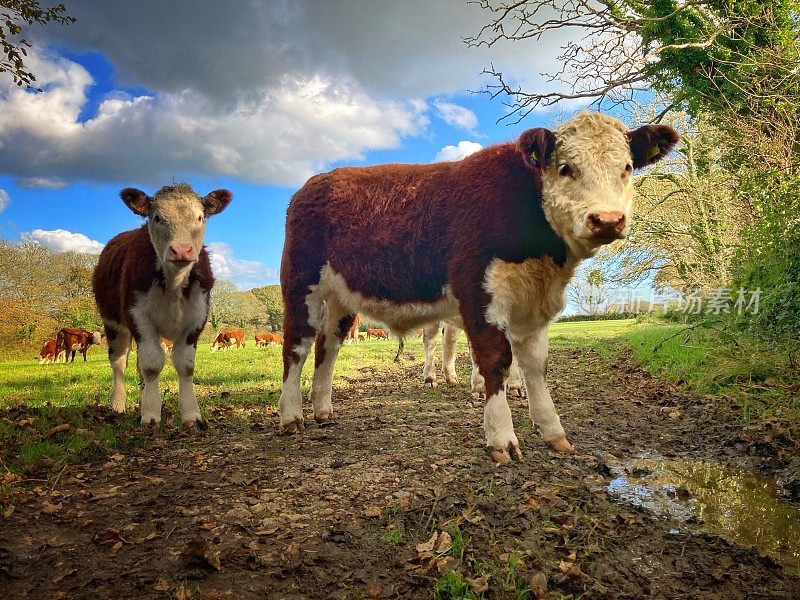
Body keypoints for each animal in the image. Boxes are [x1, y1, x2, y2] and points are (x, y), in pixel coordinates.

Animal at [93, 183, 233, 426]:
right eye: (157, 217)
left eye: (199, 217)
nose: (181, 250)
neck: (174, 283)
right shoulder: (138, 316)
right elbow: (151, 365)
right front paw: (150, 413)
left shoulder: (197, 318)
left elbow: (185, 366)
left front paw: (190, 413)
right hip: (113, 323)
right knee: (119, 362)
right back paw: (117, 404)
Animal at [278, 111, 680, 464]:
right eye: (566, 168)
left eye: (626, 168)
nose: (608, 220)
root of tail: (314, 183)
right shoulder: (479, 294)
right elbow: (495, 361)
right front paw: (502, 439)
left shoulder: (532, 307)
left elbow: (535, 365)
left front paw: (553, 433)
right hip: (301, 286)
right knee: (296, 347)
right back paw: (291, 416)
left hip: (341, 299)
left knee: (327, 346)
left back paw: (323, 409)